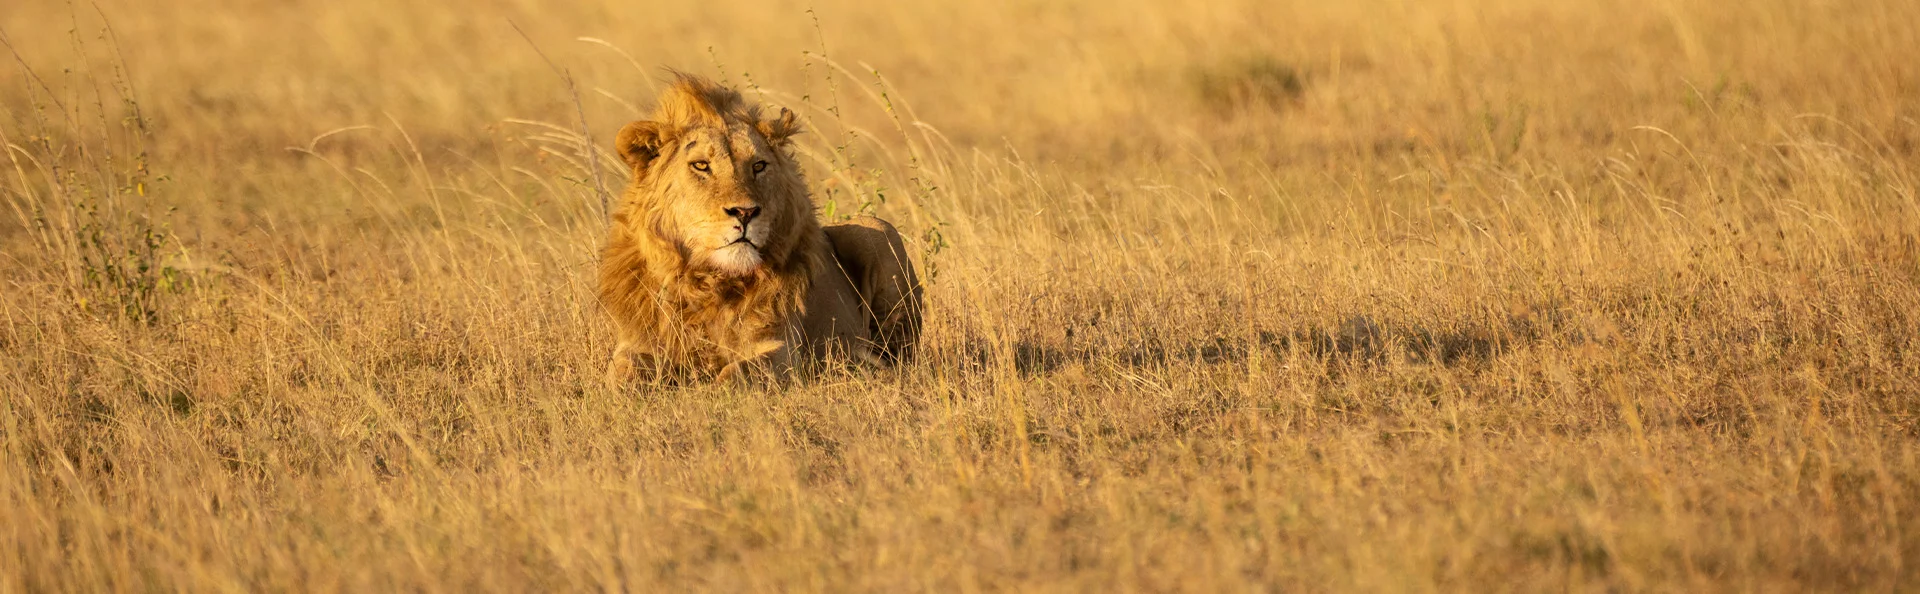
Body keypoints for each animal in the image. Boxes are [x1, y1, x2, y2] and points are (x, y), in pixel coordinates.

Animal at [598, 74, 922, 385]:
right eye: (701, 165)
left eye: (759, 166)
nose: (745, 212)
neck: (710, 283)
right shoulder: (637, 344)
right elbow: (620, 376)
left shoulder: (780, 350)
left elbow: (733, 376)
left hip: (876, 231)